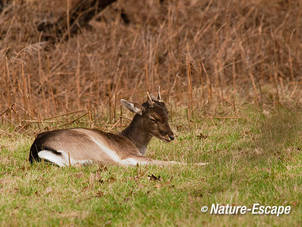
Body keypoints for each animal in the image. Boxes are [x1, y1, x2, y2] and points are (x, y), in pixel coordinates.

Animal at [28, 90, 208, 167]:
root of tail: (38, 151)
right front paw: (203, 163)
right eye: (153, 118)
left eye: (167, 113)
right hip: (93, 148)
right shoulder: (126, 154)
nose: (171, 136)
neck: (133, 143)